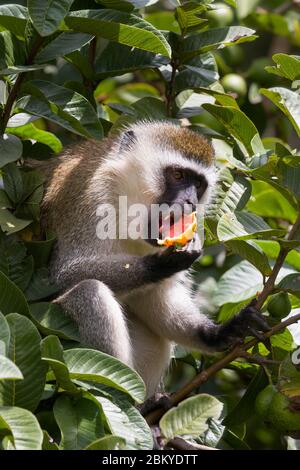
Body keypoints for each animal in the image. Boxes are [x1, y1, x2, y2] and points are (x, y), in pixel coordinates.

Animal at [36, 121, 268, 396]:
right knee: (89, 292)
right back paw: (120, 398)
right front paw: (162, 263)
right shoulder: (91, 197)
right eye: (178, 176)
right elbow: (64, 275)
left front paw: (219, 333)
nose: (190, 201)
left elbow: (153, 295)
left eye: (198, 185)